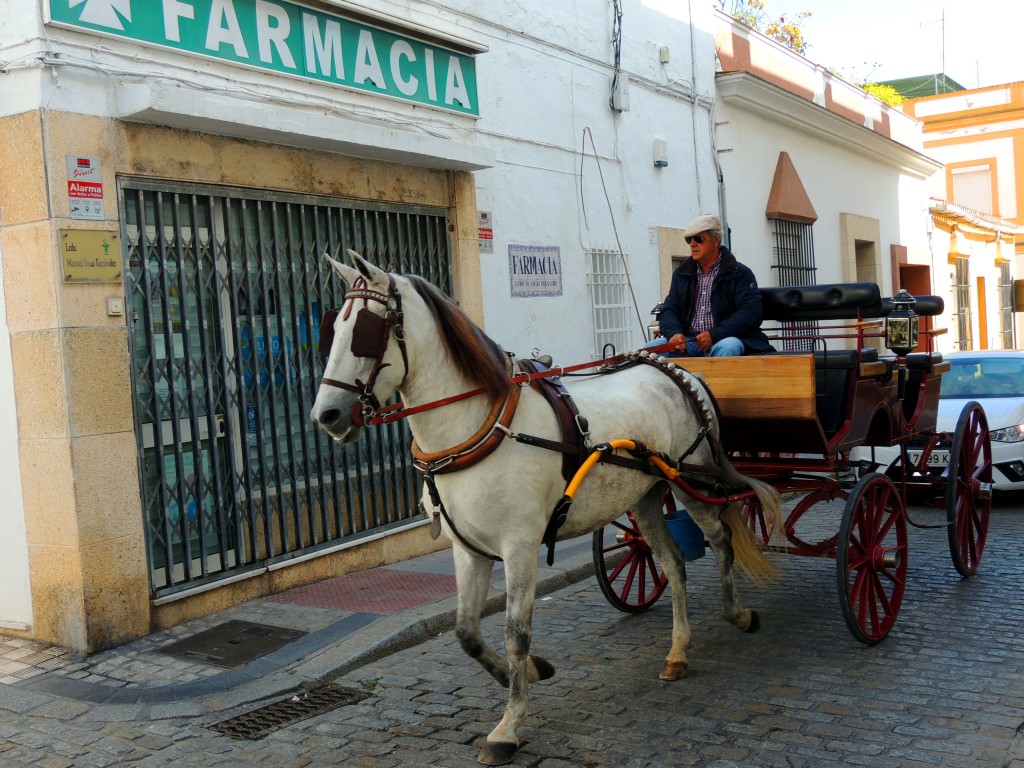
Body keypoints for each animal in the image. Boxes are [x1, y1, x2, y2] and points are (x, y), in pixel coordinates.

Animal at [311, 253, 782, 768]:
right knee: (672, 562)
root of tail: (677, 370)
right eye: (332, 327)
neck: (478, 426)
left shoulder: (519, 546)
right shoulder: (467, 548)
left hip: (694, 481)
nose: (326, 416)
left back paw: (737, 613)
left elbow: (516, 633)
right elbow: (466, 632)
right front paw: (529, 673)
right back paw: (678, 651)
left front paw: (508, 726)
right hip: (643, 494)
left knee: (720, 540)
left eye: (365, 330)